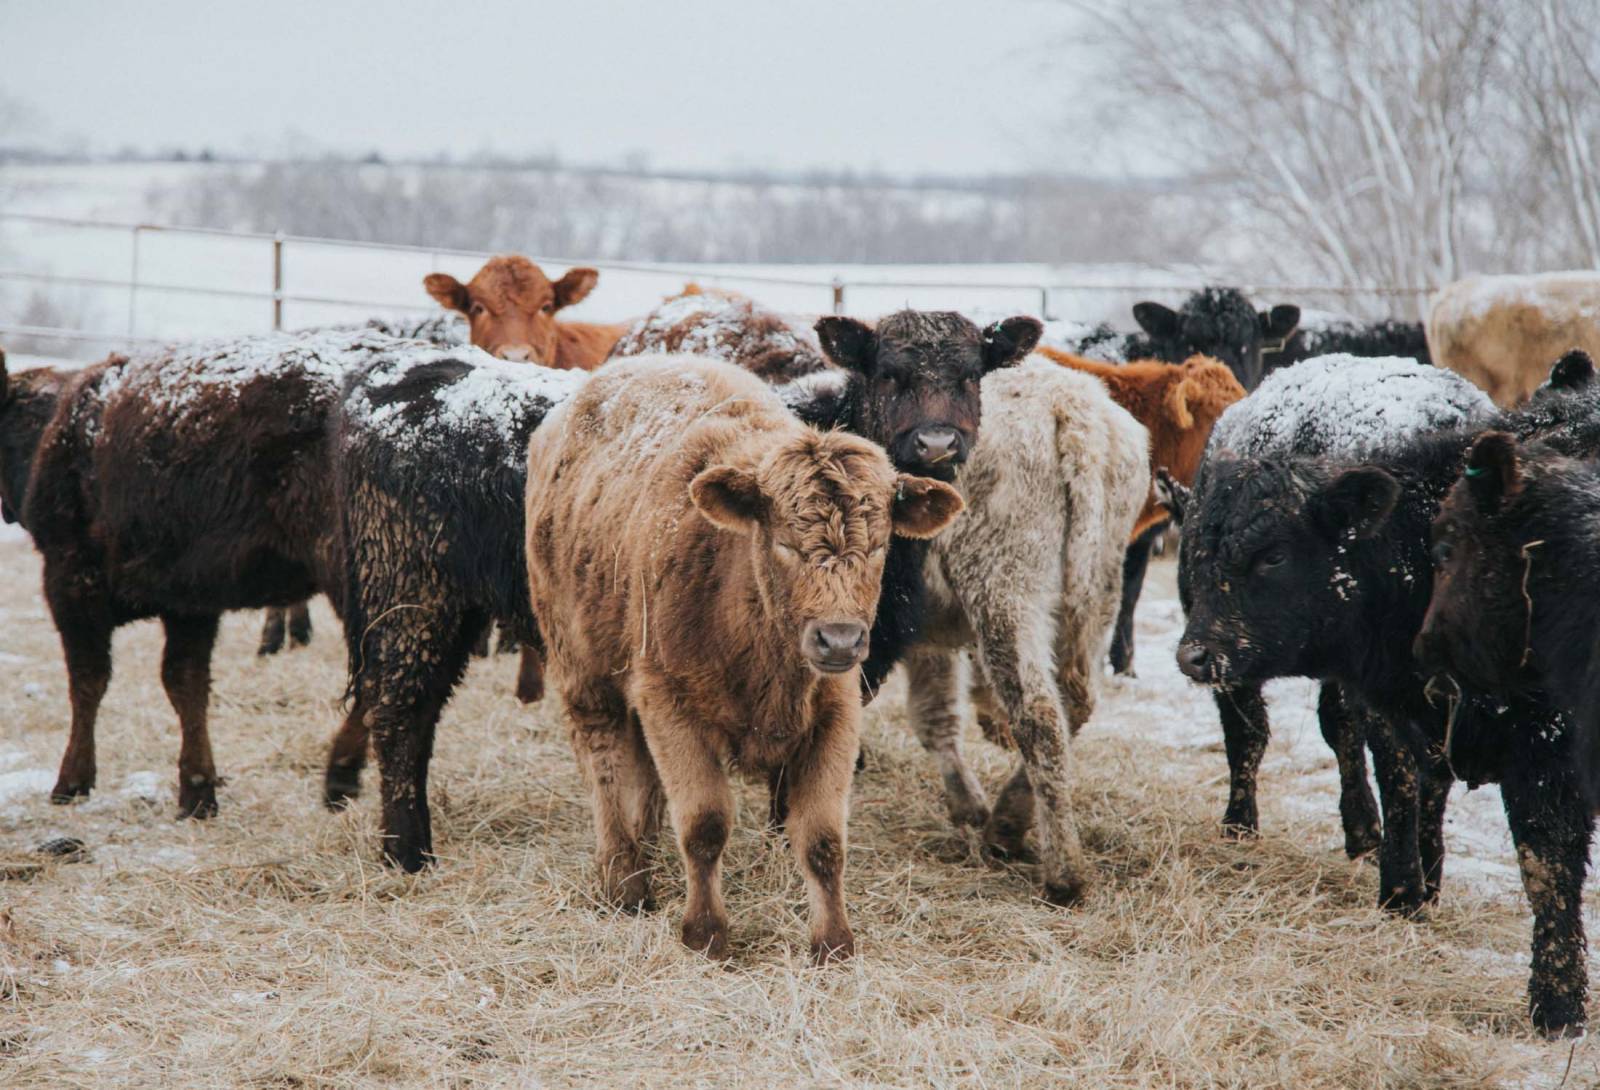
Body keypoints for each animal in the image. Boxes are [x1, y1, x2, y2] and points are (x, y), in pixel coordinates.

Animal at [0, 330, 403, 818]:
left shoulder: (71, 581)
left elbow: (88, 681)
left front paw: (71, 781)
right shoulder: (187, 602)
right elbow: (185, 684)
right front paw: (197, 789)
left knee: (378, 671)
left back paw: (341, 772)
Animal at [523, 356, 963, 961]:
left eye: (878, 545)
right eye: (784, 543)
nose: (839, 639)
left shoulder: (836, 713)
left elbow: (822, 838)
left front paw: (833, 940)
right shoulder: (669, 703)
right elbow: (705, 825)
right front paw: (706, 931)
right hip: (581, 667)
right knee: (605, 762)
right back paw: (623, 877)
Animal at [1175, 353, 1591, 1036]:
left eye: (1274, 556)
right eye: (1200, 551)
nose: (1193, 655)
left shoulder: (1546, 743)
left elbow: (1546, 863)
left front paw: (1558, 1004)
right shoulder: (1398, 706)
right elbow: (1403, 784)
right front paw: (1404, 893)